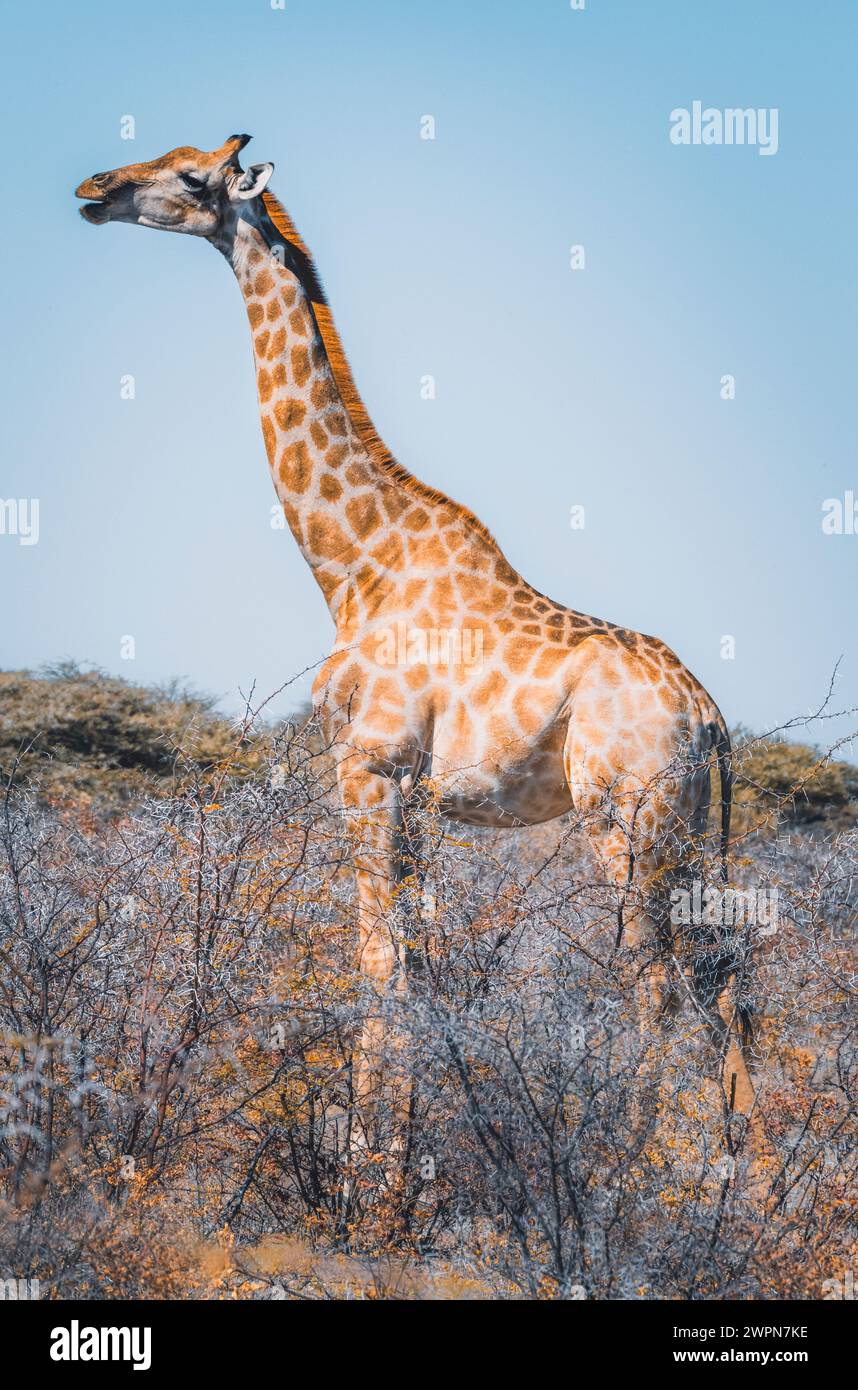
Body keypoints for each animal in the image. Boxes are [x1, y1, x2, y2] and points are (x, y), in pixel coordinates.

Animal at [75, 138, 756, 1162]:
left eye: (193, 177)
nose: (93, 189)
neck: (354, 562)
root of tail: (710, 717)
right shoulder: (420, 793)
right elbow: (420, 969)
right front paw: (405, 1158)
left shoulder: (368, 767)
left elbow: (378, 965)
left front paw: (368, 1166)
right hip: (681, 827)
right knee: (720, 982)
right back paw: (745, 1173)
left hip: (626, 818)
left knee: (656, 982)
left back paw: (623, 1167)